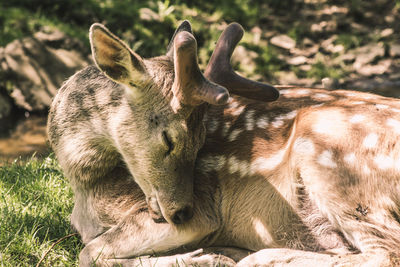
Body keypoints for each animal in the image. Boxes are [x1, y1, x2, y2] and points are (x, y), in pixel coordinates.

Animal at [48, 21, 400, 267]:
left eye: (202, 139)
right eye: (169, 138)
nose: (181, 212)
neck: (88, 189)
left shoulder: (204, 210)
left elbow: (89, 252)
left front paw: (201, 258)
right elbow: (91, 249)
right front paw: (205, 255)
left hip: (334, 161)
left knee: (385, 253)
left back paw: (256, 257)